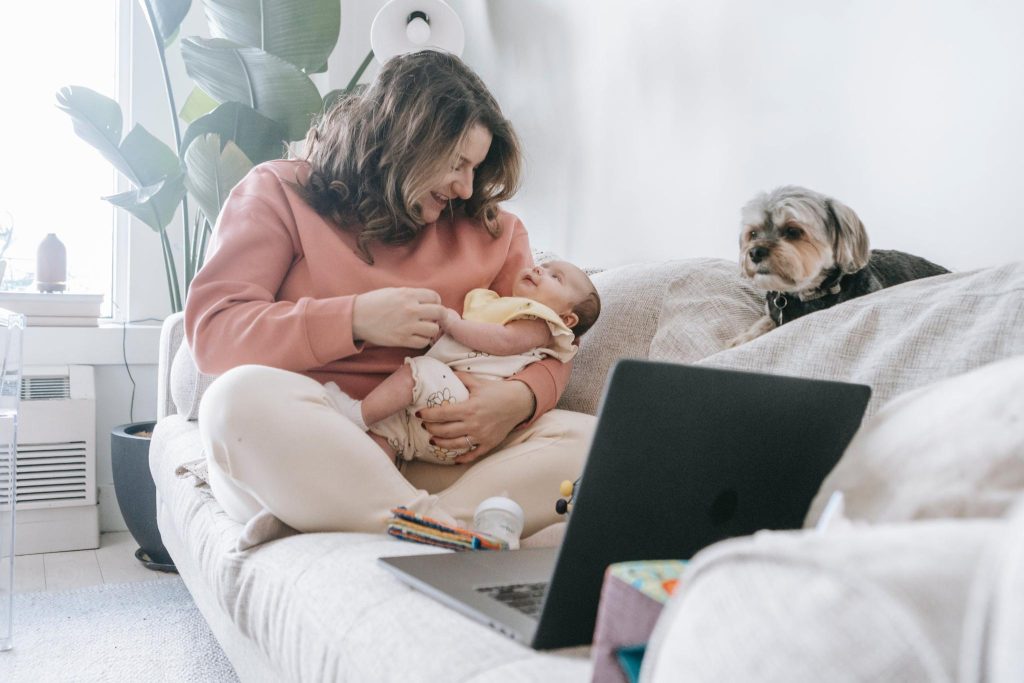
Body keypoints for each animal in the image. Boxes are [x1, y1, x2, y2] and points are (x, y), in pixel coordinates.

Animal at [729, 185, 950, 348]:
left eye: (792, 231)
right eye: (753, 234)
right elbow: (763, 322)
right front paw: (743, 338)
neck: (806, 294)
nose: (755, 252)